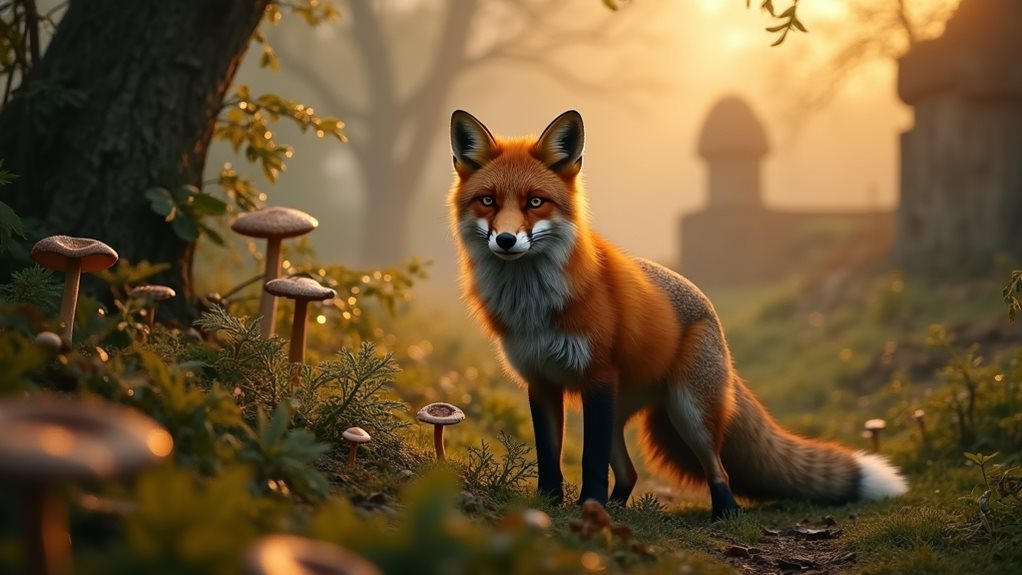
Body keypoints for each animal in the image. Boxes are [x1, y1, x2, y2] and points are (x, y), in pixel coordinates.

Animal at [447, 109, 908, 518]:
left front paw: (588, 506)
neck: (534, 305)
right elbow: (549, 456)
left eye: (535, 202)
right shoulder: (541, 381)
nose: (506, 240)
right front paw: (550, 504)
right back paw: (620, 508)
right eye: (488, 201)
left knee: (718, 469)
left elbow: (591, 461)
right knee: (630, 473)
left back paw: (724, 513)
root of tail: (711, 313)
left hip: (688, 411)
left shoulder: (595, 376)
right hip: (623, 410)